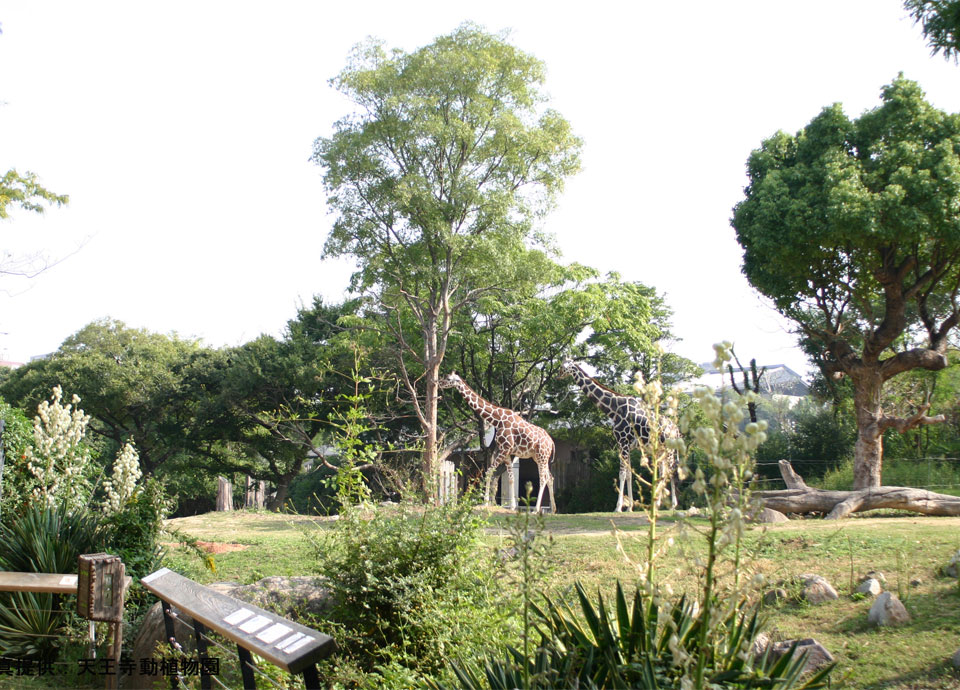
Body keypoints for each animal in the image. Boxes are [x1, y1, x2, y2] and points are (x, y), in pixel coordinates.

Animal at [440, 370, 560, 510]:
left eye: (448, 378)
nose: (439, 382)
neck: (497, 420)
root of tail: (551, 442)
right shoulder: (507, 452)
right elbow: (511, 477)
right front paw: (512, 506)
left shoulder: (505, 449)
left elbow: (488, 472)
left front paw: (485, 502)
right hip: (539, 457)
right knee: (550, 477)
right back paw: (553, 509)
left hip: (542, 456)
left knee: (543, 478)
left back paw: (536, 509)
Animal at [560, 360, 680, 510]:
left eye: (564, 366)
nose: (558, 375)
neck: (614, 410)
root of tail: (676, 429)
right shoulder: (625, 445)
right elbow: (629, 474)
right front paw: (629, 507)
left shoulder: (623, 442)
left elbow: (622, 474)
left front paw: (618, 507)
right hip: (661, 451)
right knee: (663, 473)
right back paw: (658, 504)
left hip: (670, 450)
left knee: (671, 472)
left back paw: (672, 505)